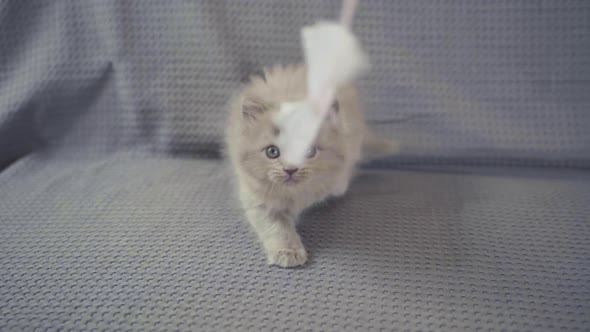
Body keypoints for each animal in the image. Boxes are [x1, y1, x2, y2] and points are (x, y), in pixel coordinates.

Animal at [225, 64, 398, 268]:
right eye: (272, 151)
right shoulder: (257, 197)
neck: (295, 195)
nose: (290, 170)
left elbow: (339, 177)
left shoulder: (347, 145)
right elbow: (276, 228)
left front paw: (336, 186)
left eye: (308, 151)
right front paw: (287, 252)